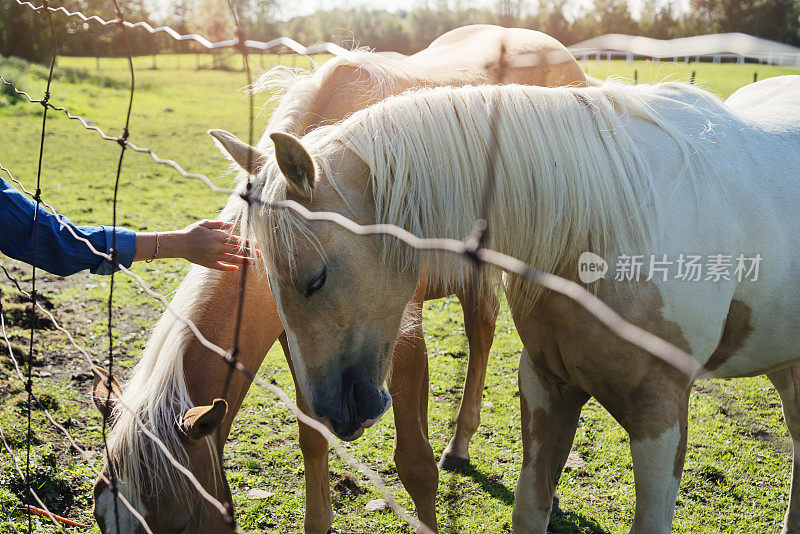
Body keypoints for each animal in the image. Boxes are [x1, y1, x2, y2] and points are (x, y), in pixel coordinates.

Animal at [90, 25, 588, 534]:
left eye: (180, 524)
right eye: (99, 514)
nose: (349, 413)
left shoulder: (401, 330)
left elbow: (415, 464)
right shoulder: (300, 345)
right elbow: (312, 436)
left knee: (482, 333)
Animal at [222, 76, 800, 534]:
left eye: (315, 279)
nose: (332, 412)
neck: (611, 222)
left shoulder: (661, 413)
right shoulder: (547, 387)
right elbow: (530, 509)